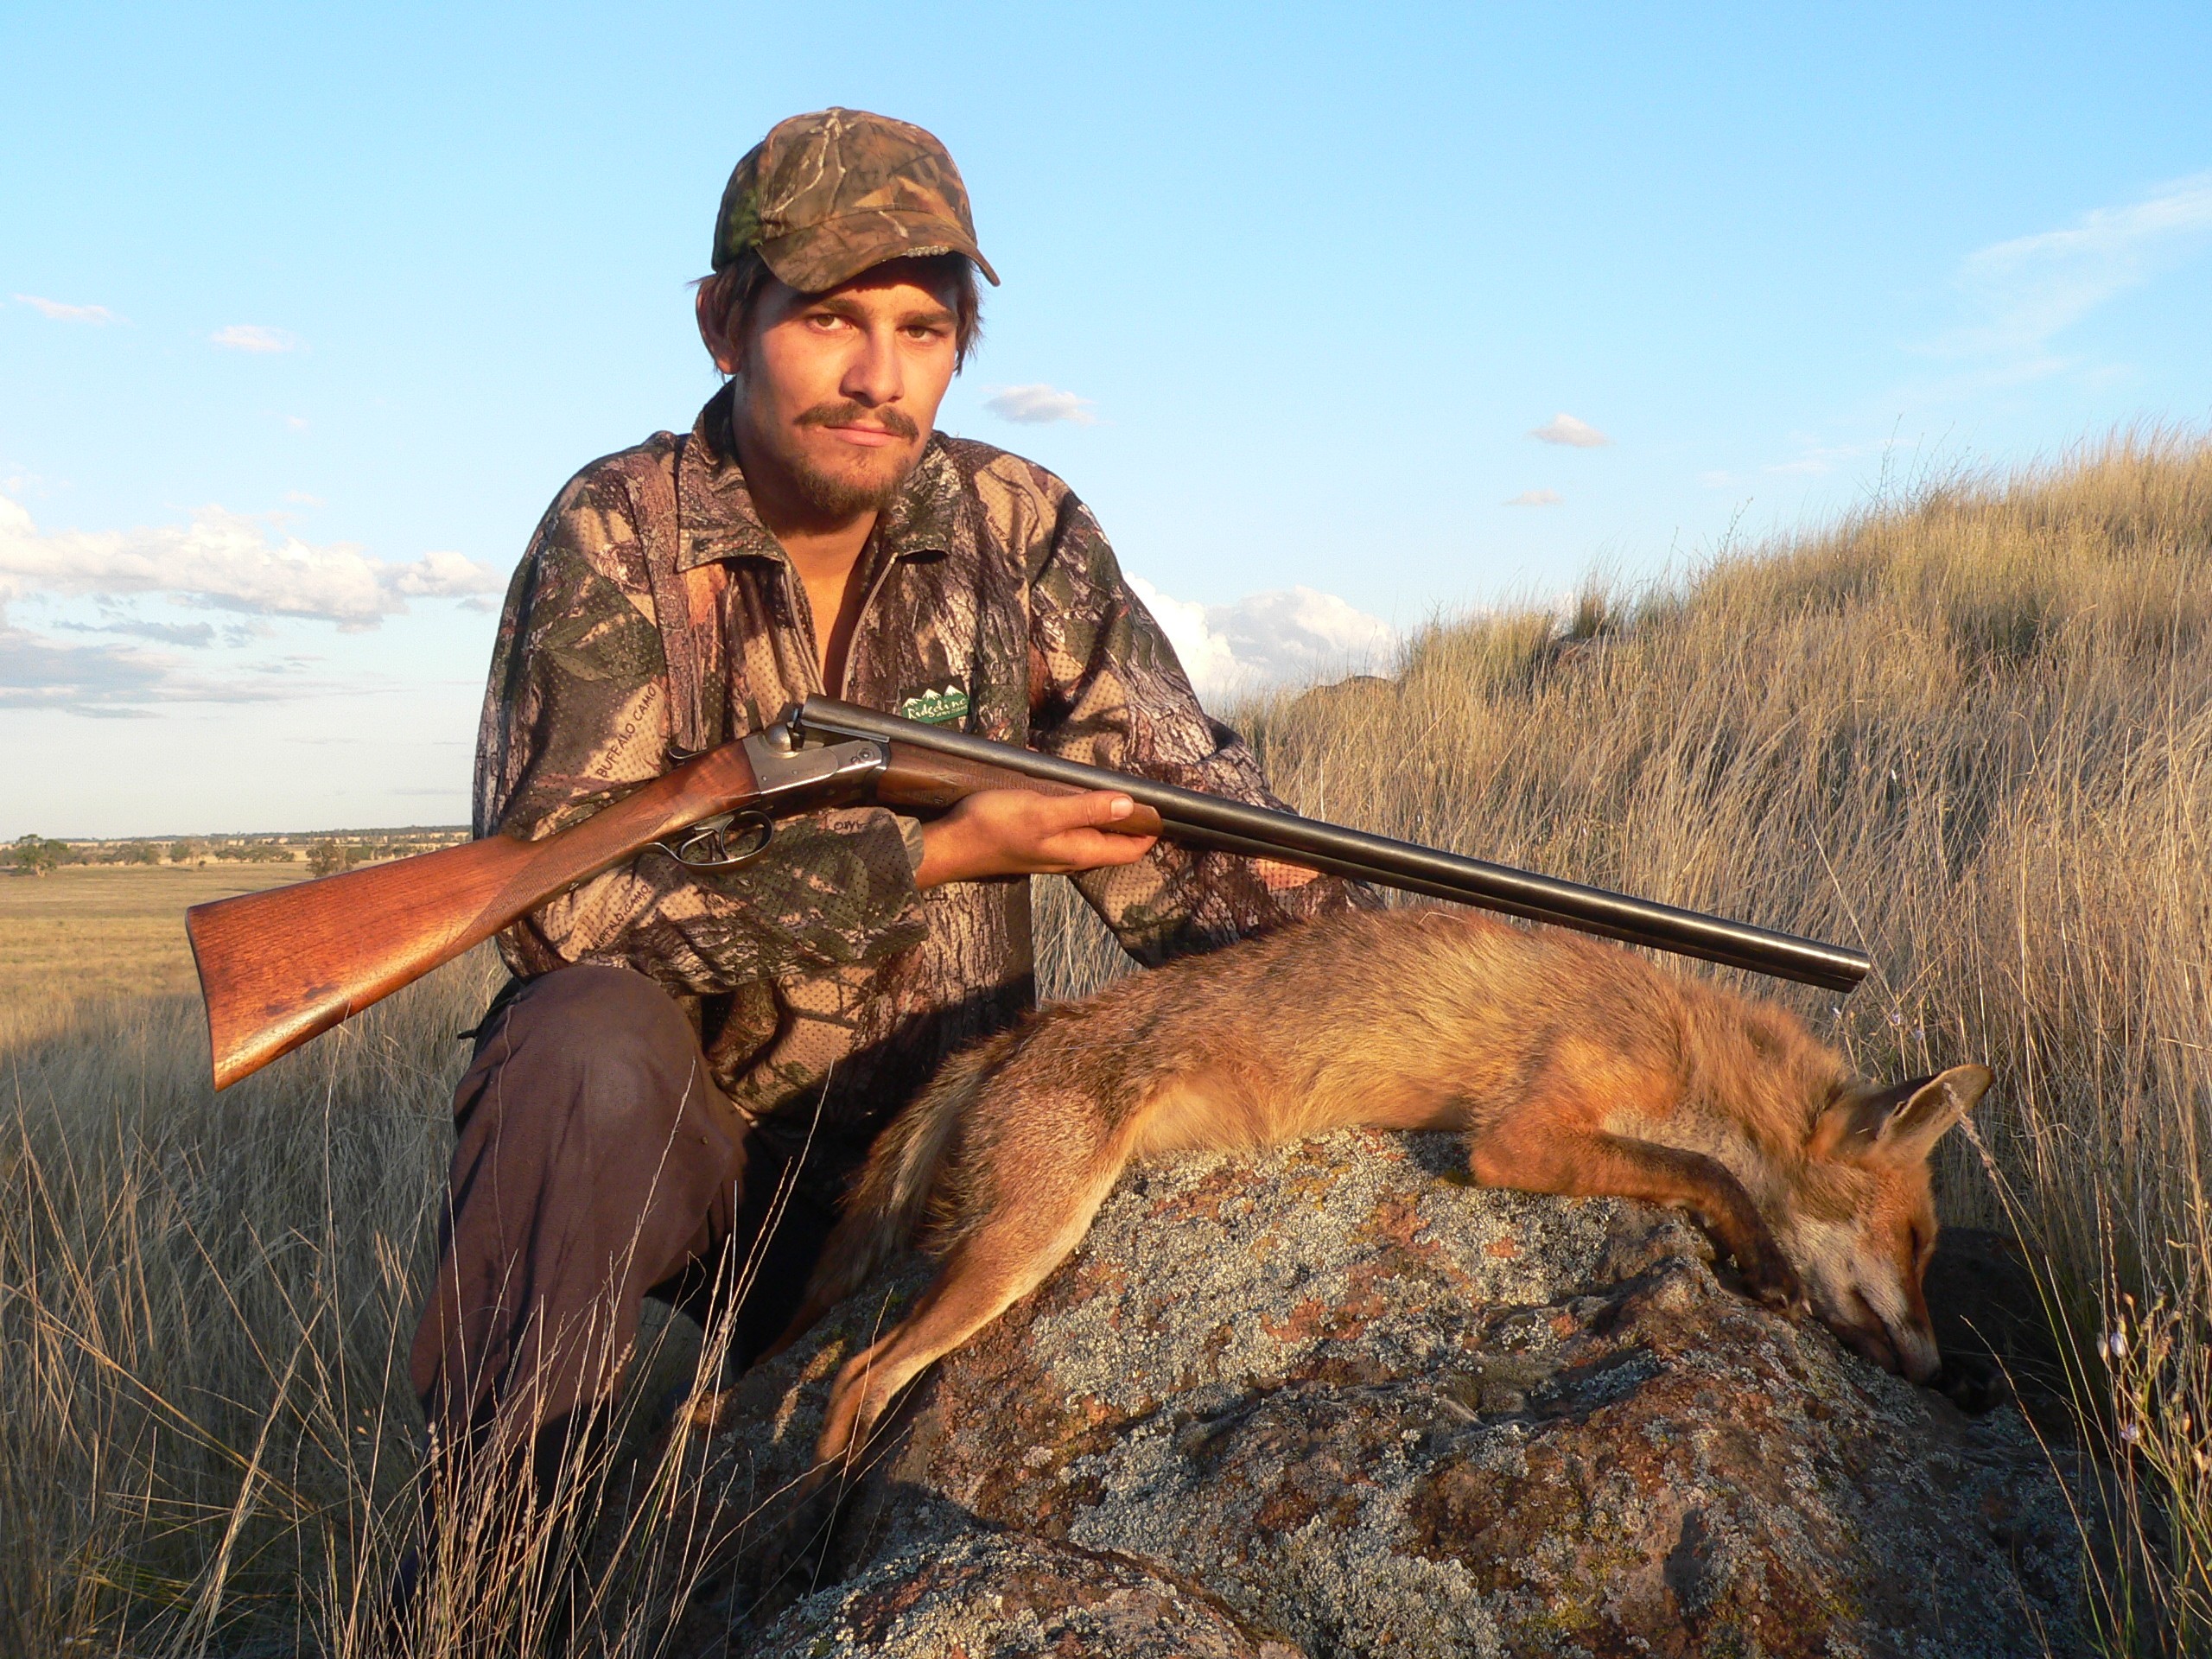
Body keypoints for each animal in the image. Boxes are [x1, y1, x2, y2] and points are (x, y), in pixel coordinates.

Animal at [791, 911, 1991, 1468]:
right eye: (1918, 1244)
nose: (1940, 1374)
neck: (1682, 1050)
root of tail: (1011, 1037)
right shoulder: (1514, 1139)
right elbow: (1702, 1172)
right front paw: (1760, 1258)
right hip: (1028, 1244)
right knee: (856, 1372)